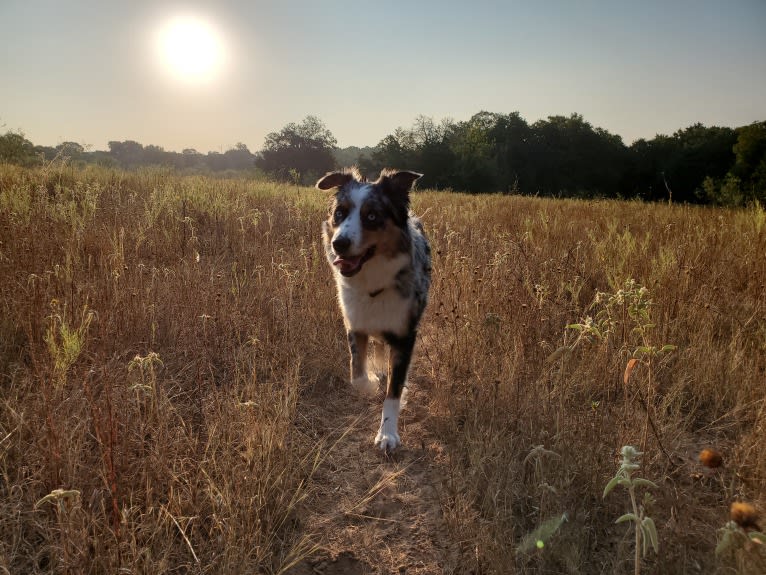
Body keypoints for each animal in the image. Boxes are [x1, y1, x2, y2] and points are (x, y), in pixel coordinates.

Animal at [316, 169, 428, 452]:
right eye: (340, 213)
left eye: (372, 216)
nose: (339, 243)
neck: (373, 283)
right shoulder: (355, 323)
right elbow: (357, 373)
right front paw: (371, 383)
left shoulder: (405, 335)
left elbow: (394, 391)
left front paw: (387, 434)